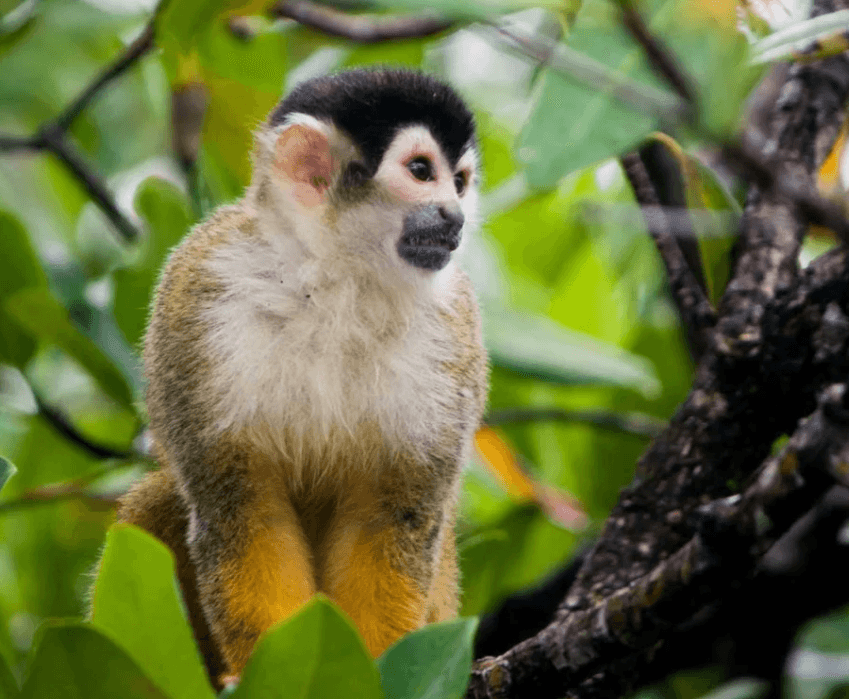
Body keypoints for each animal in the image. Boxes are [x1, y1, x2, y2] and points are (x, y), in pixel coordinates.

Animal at [115, 68, 488, 685]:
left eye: (459, 183)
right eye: (421, 171)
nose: (454, 216)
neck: (339, 282)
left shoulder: (454, 331)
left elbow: (389, 521)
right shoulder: (200, 301)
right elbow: (241, 511)